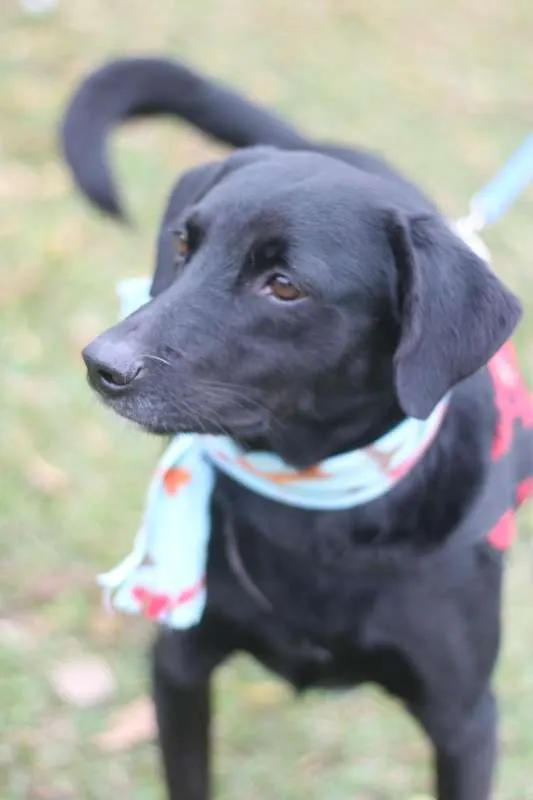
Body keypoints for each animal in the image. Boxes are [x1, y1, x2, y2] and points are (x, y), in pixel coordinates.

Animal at [61, 59, 532, 796]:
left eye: (283, 286)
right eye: (183, 244)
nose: (101, 363)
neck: (313, 504)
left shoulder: (464, 721)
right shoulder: (179, 670)